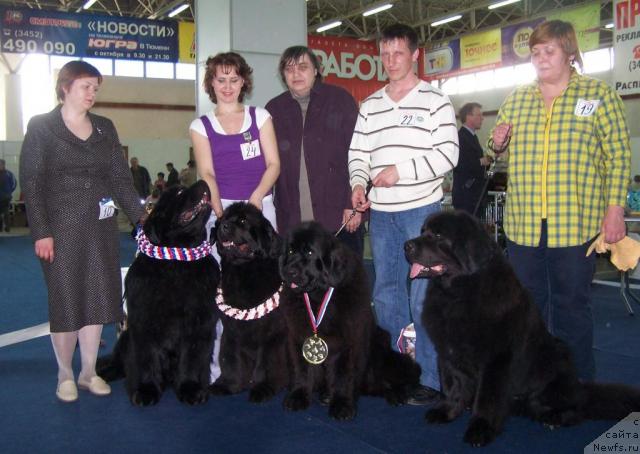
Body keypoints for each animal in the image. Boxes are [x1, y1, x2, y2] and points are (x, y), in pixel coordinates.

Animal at [97, 181, 220, 408]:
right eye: (179, 192)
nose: (204, 182)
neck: (176, 263)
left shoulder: (198, 322)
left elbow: (192, 358)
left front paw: (191, 389)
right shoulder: (144, 322)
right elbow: (147, 358)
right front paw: (146, 391)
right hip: (126, 335)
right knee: (117, 361)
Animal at [209, 202, 288, 400]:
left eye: (243, 221)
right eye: (223, 218)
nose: (223, 226)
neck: (242, 270)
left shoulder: (271, 334)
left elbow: (266, 362)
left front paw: (263, 388)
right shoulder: (232, 330)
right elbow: (231, 358)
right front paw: (228, 384)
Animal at [278, 222, 420, 420]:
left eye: (310, 252)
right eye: (290, 251)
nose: (289, 271)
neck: (317, 298)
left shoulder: (347, 342)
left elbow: (343, 375)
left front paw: (342, 405)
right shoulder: (298, 337)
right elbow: (301, 369)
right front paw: (297, 396)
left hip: (379, 347)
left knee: (383, 381)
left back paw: (396, 395)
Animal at [404, 211, 640, 446]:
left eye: (438, 236)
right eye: (423, 231)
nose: (406, 245)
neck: (457, 293)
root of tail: (580, 386)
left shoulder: (496, 359)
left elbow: (488, 397)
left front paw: (481, 429)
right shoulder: (448, 350)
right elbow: (452, 385)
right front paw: (446, 412)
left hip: (557, 362)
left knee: (576, 409)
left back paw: (554, 418)